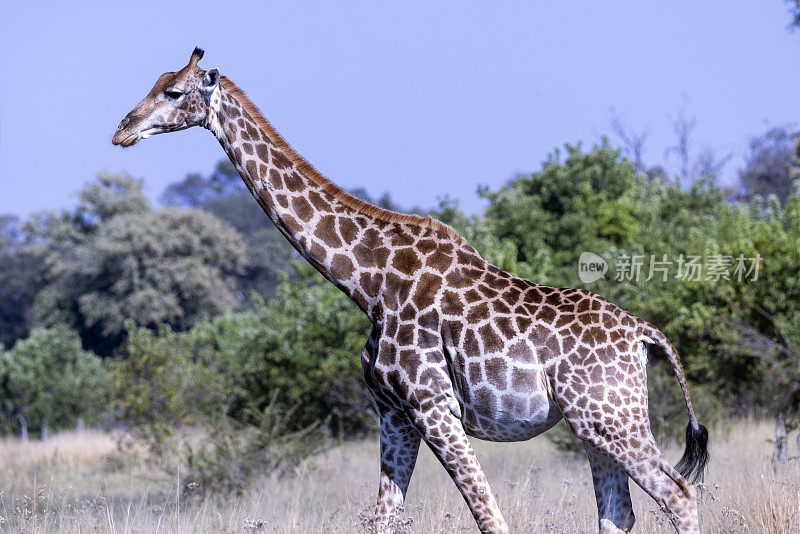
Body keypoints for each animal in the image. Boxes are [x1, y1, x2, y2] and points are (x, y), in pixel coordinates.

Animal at [111, 48, 708, 532]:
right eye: (157, 81)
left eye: (174, 91)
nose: (121, 129)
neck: (367, 282)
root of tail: (645, 335)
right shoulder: (393, 412)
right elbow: (382, 520)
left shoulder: (433, 404)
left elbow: (491, 518)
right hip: (594, 425)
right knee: (619, 513)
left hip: (612, 418)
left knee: (679, 494)